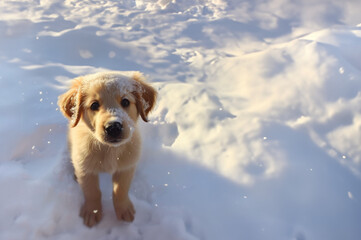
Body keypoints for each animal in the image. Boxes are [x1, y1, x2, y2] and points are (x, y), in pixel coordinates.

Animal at [57, 71, 156, 227]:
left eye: (125, 102)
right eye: (94, 105)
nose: (113, 127)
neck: (109, 150)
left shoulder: (126, 167)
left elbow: (121, 190)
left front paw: (124, 209)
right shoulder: (86, 168)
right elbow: (92, 191)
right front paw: (92, 211)